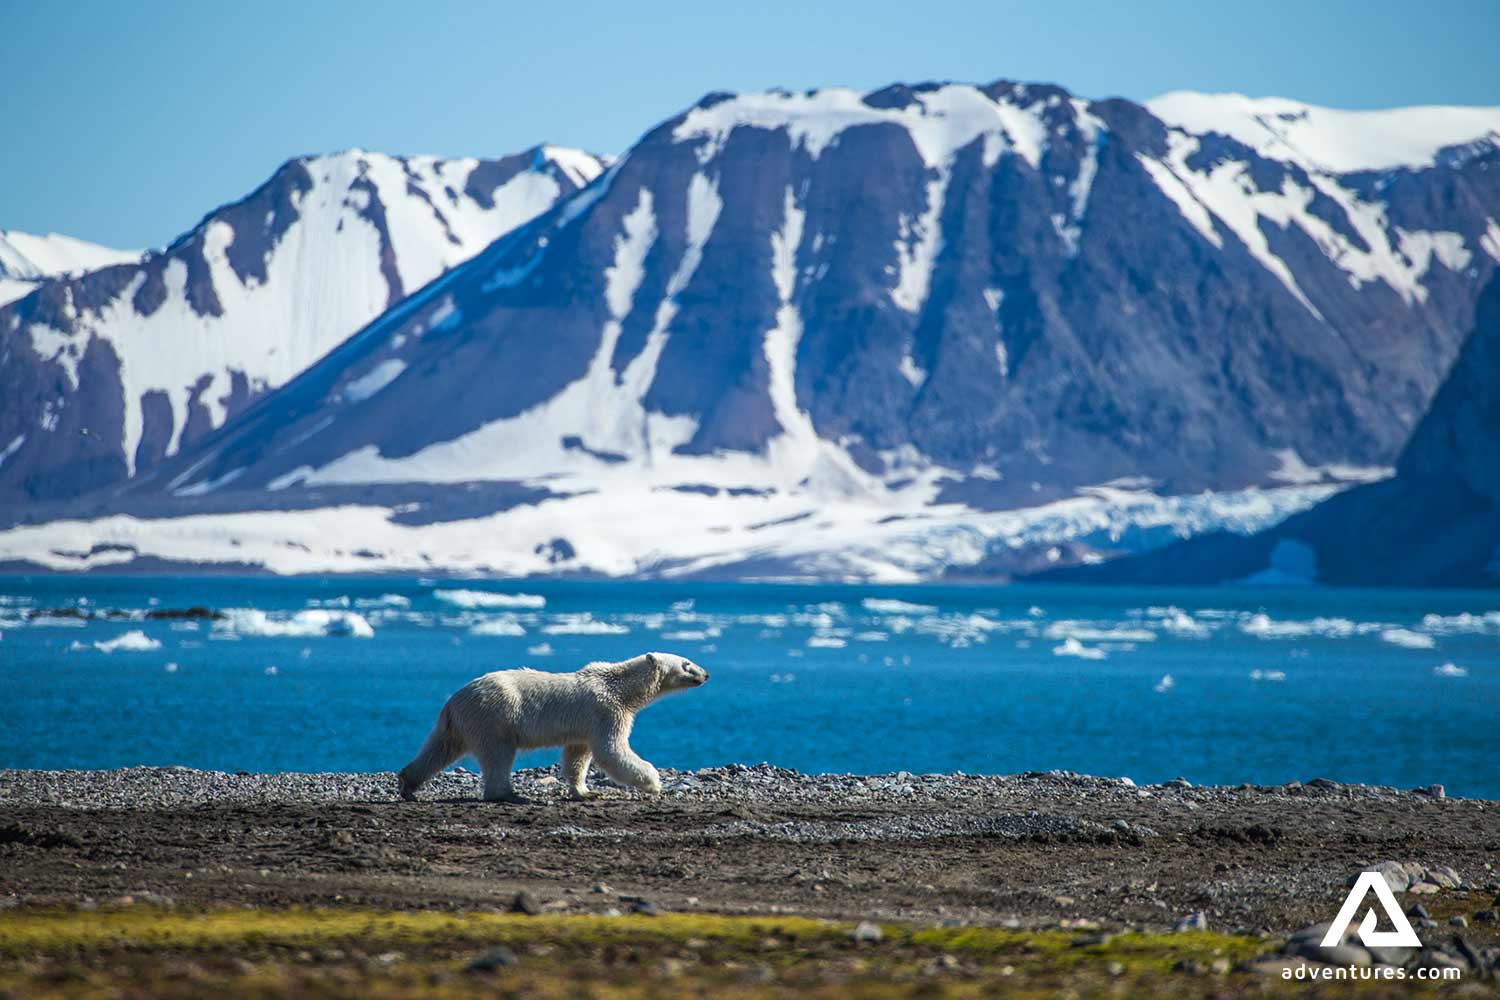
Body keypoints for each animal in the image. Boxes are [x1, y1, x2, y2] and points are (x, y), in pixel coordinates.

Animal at [397, 652, 709, 802]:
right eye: (686, 663)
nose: (706, 674)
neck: (620, 688)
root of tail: (453, 700)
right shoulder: (606, 711)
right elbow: (612, 750)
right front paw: (654, 782)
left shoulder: (585, 725)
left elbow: (578, 756)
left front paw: (585, 791)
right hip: (494, 717)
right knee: (498, 755)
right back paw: (509, 794)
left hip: (460, 723)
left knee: (439, 749)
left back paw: (407, 784)